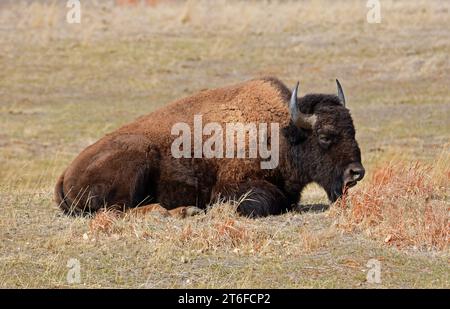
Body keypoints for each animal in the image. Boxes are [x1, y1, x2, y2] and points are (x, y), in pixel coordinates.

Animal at [55, 77, 366, 217]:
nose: (356, 172)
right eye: (324, 136)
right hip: (138, 157)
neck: (280, 131)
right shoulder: (231, 187)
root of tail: (66, 172)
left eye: (353, 130)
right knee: (119, 209)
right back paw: (181, 211)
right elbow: (268, 200)